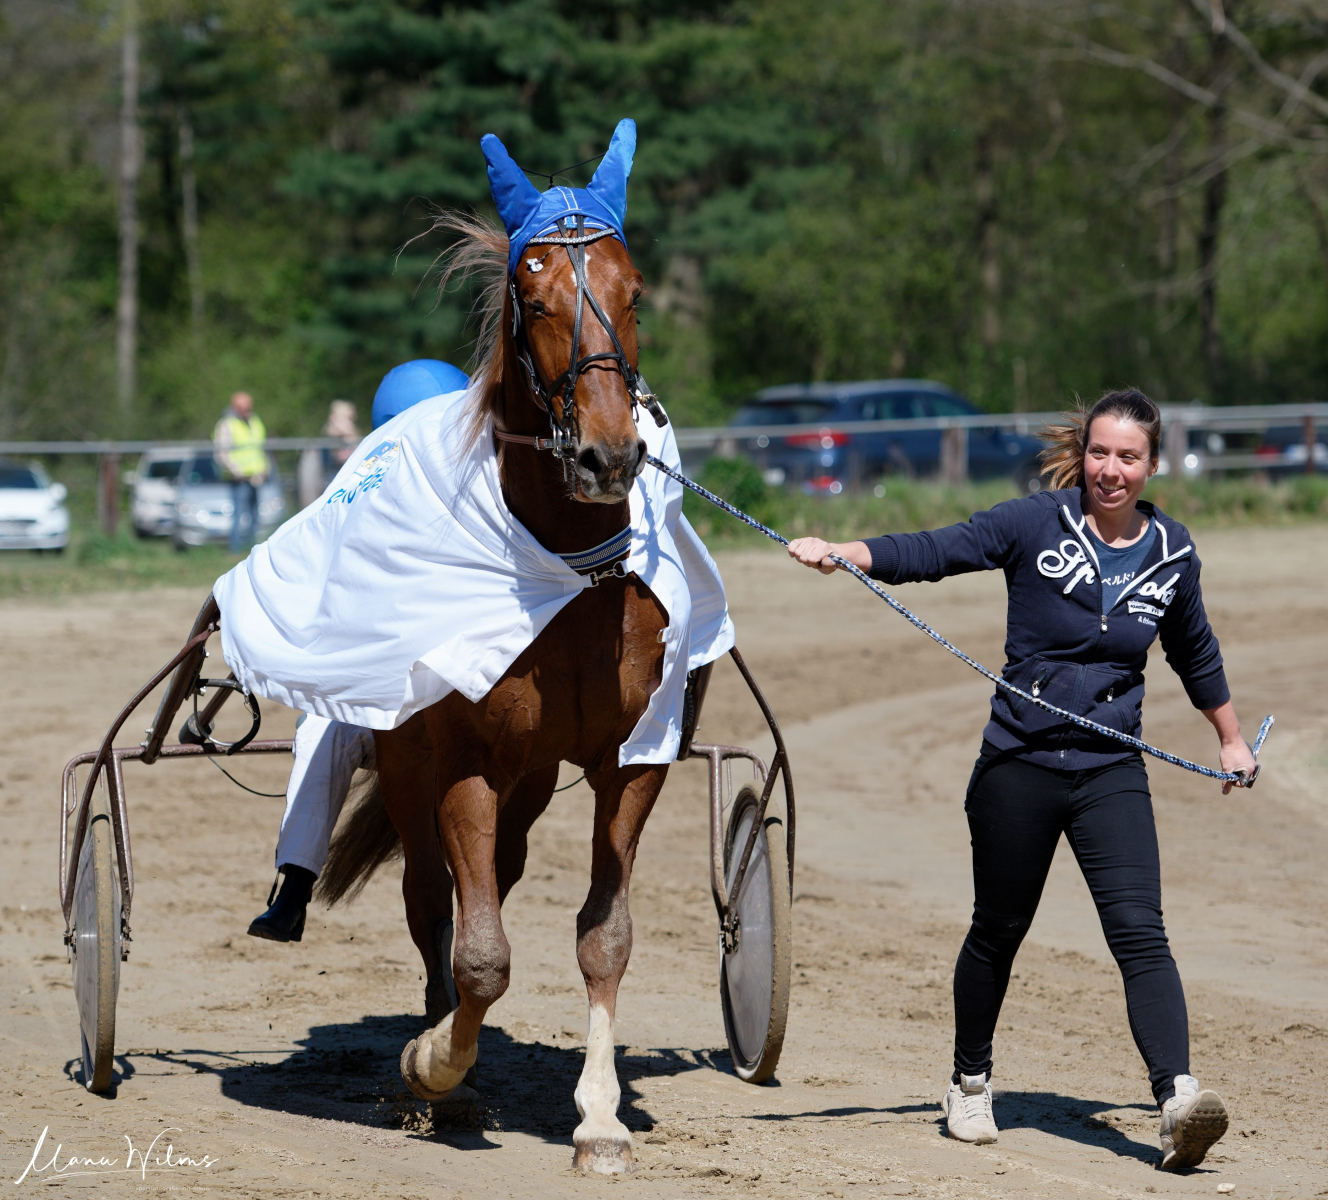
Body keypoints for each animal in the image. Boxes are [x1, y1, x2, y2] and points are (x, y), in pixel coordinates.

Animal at [315, 182, 682, 1172]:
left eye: (636, 293)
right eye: (537, 299)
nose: (607, 455)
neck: (571, 583)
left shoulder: (632, 764)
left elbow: (606, 937)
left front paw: (599, 1118)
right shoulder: (464, 764)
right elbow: (480, 955)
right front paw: (435, 1064)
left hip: (533, 778)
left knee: (498, 872)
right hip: (414, 771)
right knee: (431, 900)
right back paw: (441, 1048)